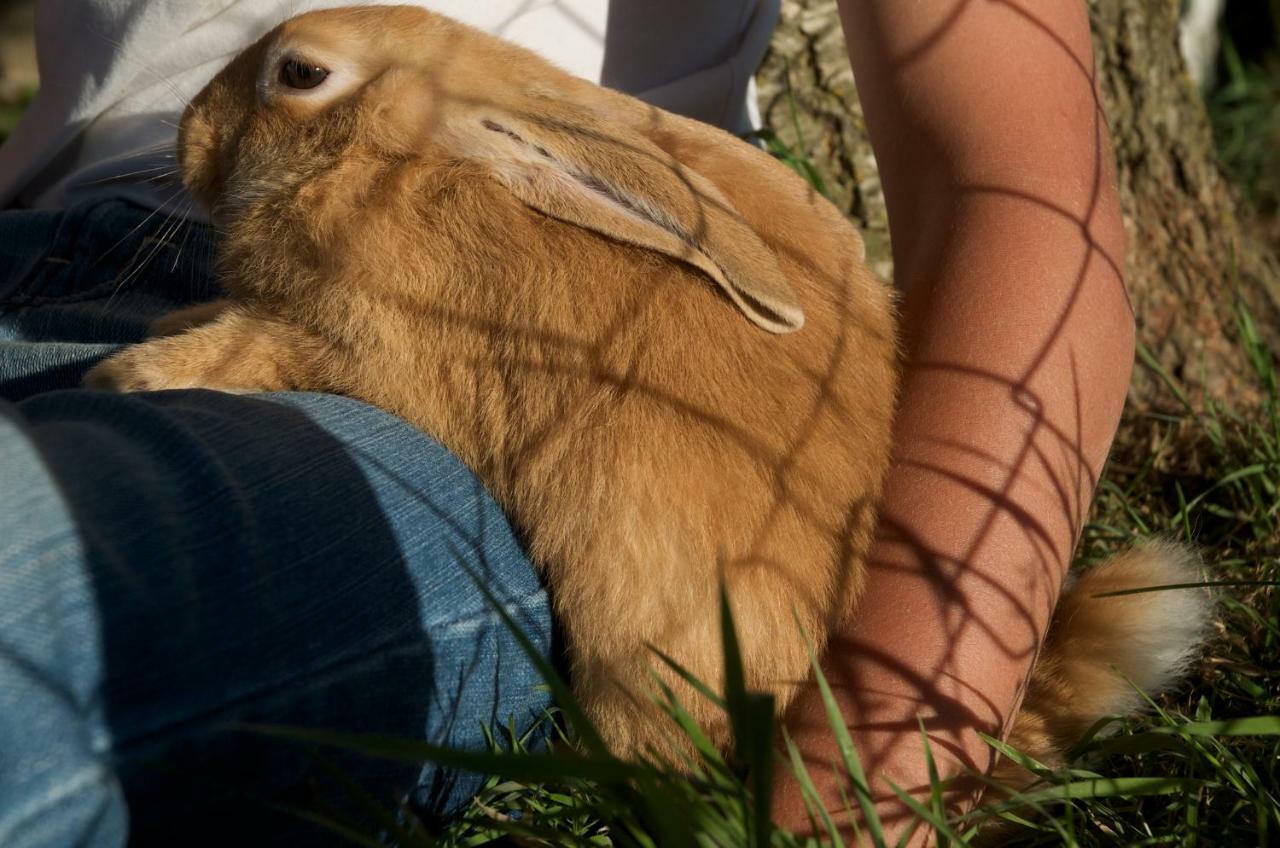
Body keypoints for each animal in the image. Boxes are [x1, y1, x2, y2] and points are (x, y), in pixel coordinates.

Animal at [82, 1, 1208, 768]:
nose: (185, 137)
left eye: (300, 73)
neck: (397, 160)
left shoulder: (356, 348)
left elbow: (251, 352)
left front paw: (128, 371)